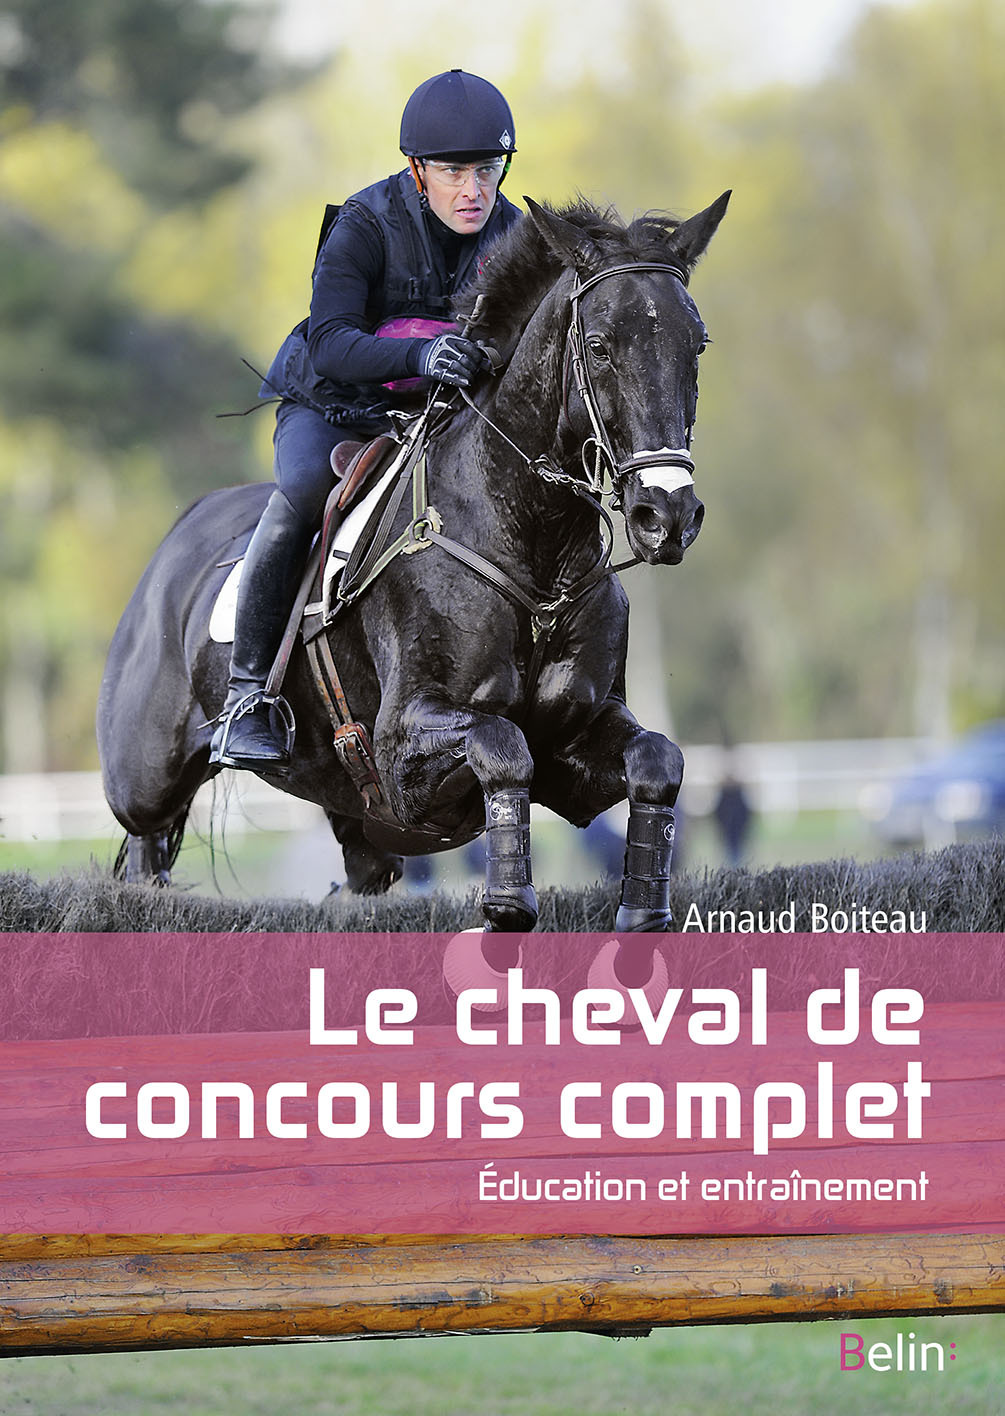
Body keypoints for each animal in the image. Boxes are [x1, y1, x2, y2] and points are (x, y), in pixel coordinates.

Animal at [97, 192, 729, 988]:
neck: (530, 536)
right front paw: (504, 914)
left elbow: (656, 761)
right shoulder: (404, 747)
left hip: (351, 813)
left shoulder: (574, 744)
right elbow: (502, 746)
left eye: (694, 346)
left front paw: (641, 921)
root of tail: (174, 540)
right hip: (143, 783)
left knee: (359, 876)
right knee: (144, 858)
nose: (666, 516)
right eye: (599, 348)